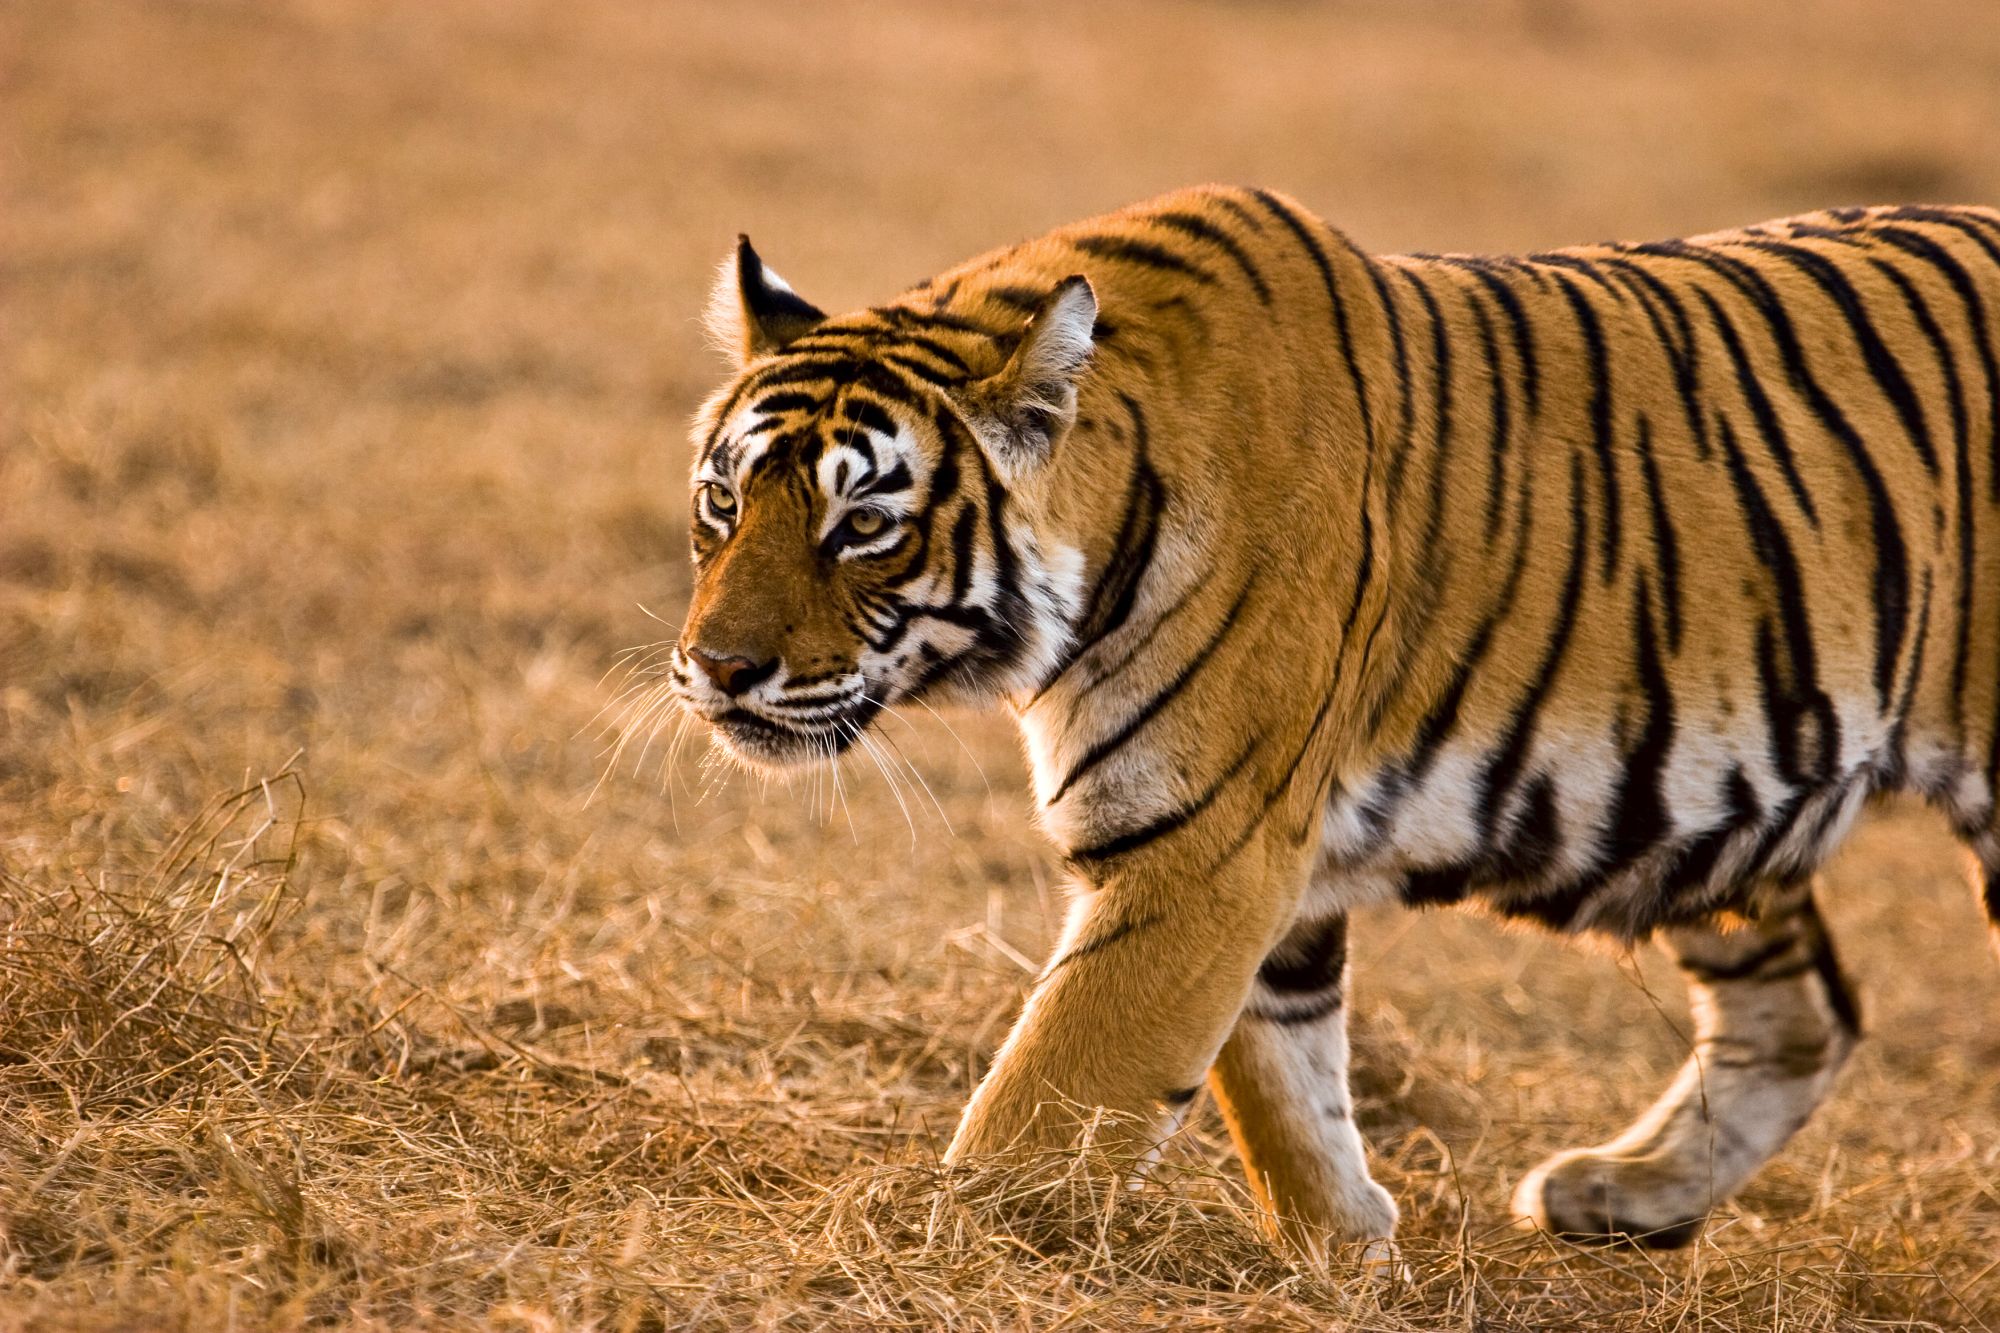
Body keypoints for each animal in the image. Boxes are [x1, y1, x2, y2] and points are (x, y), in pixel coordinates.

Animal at [663, 185, 2000, 1261]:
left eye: (861, 528)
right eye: (722, 503)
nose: (714, 669)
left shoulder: (1199, 847)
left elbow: (1047, 1095)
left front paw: (924, 1246)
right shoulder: (1251, 861)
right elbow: (1282, 1078)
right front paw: (1347, 1248)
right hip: (1716, 825)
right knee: (1803, 1011)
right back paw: (1623, 1195)